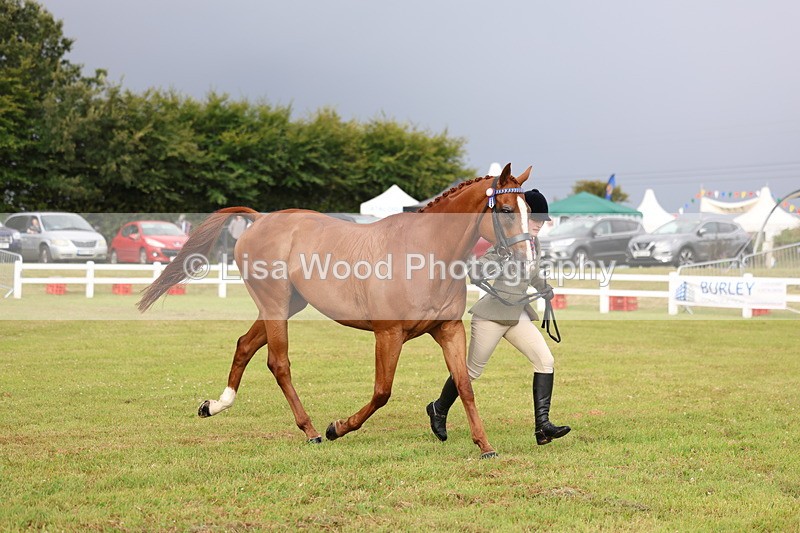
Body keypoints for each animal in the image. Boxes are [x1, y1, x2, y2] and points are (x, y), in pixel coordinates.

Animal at [138, 163, 533, 458]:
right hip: (275, 306)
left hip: (286, 306)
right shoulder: (388, 335)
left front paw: (484, 445)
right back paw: (311, 430)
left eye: (530, 211)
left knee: (244, 345)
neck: (426, 253)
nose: (528, 262)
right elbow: (382, 392)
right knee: (278, 363)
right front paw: (337, 428)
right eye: (507, 211)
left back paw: (216, 405)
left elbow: (464, 384)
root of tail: (260, 218)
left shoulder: (448, 329)